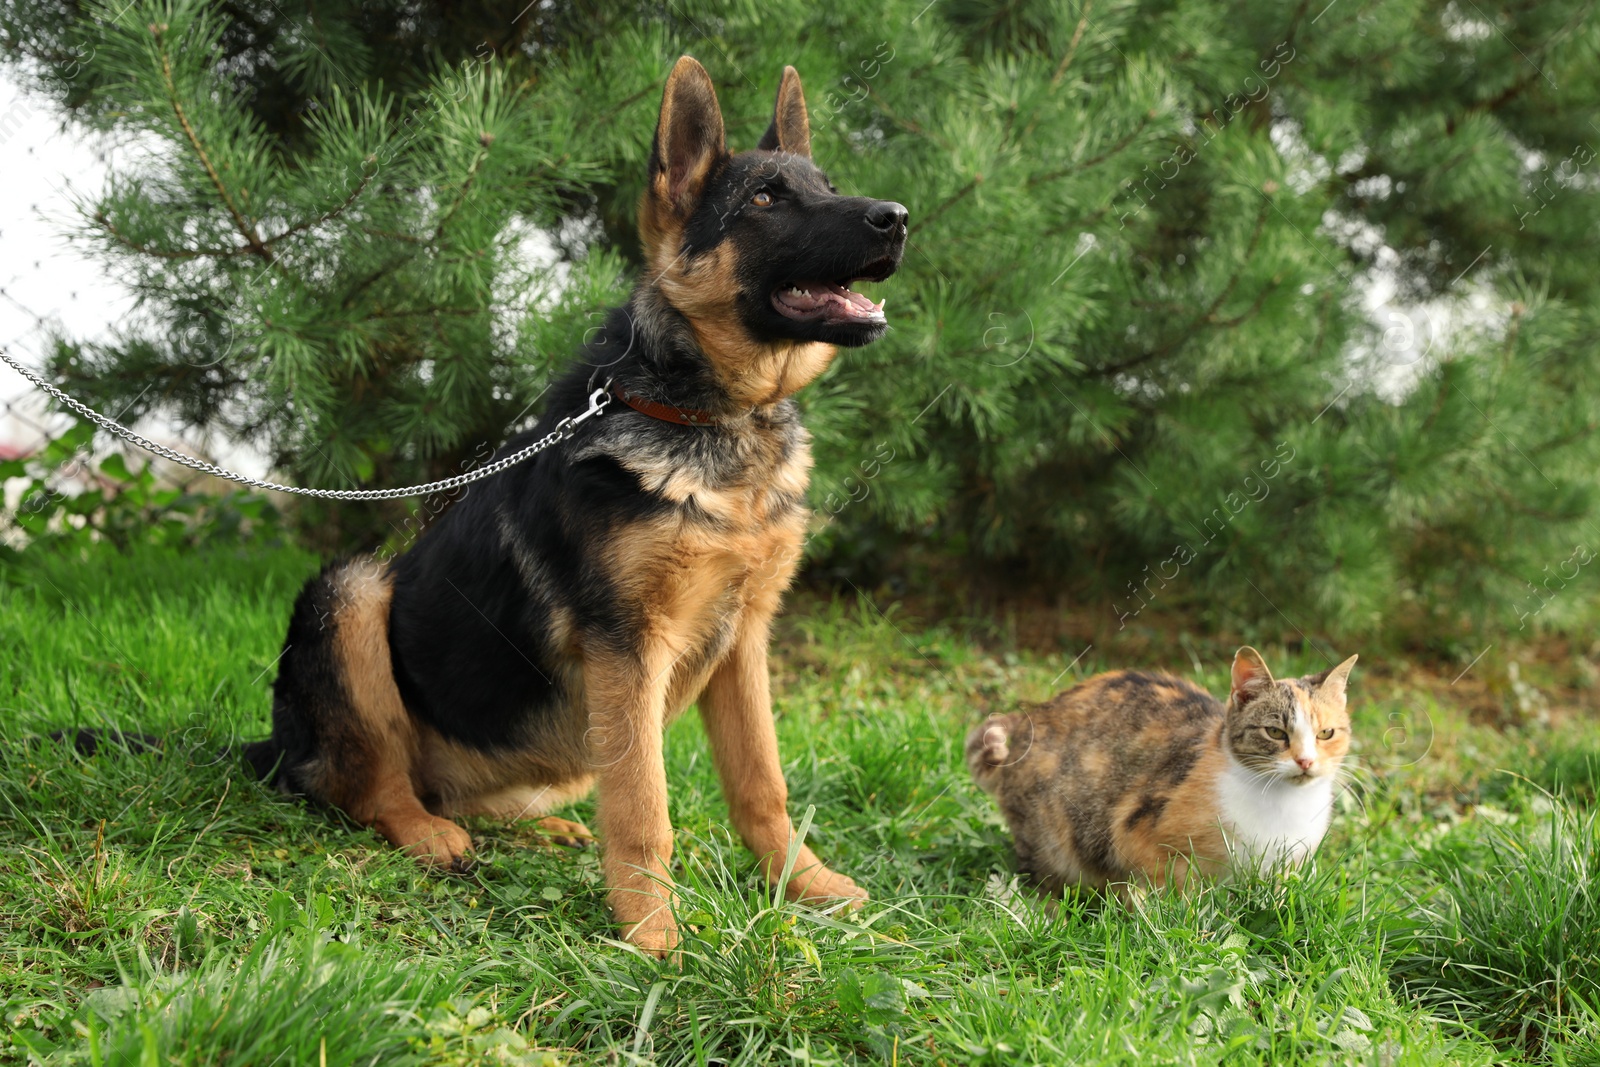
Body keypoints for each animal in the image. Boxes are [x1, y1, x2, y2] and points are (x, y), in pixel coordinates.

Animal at [243, 56, 908, 959]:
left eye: (827, 187)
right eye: (768, 198)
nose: (898, 218)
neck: (712, 421)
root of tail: (278, 745)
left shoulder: (745, 643)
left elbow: (763, 786)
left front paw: (804, 886)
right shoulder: (628, 648)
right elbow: (644, 805)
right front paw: (654, 932)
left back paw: (536, 830)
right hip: (351, 592)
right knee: (369, 788)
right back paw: (428, 834)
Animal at [966, 646, 1356, 895]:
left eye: (1326, 733)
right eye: (1275, 732)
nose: (1305, 761)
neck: (1281, 808)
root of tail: (1031, 718)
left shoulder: (1292, 863)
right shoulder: (1135, 833)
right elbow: (1173, 894)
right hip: (1053, 835)